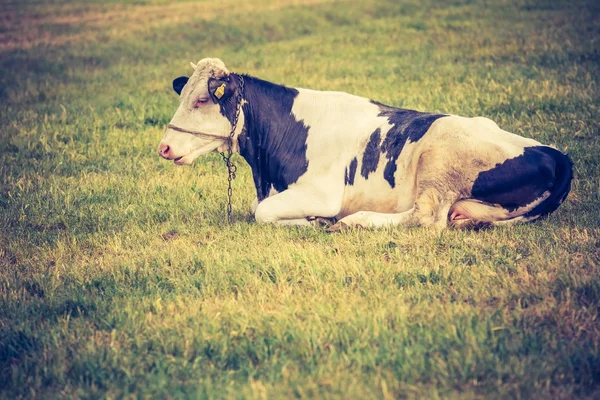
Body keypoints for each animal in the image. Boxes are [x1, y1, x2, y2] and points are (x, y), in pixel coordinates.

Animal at [157, 57, 576, 230]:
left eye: (202, 99)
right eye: (185, 95)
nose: (163, 147)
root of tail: (553, 153)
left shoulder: (322, 192)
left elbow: (261, 213)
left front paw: (313, 221)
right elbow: (256, 208)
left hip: (439, 162)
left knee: (426, 218)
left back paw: (354, 221)